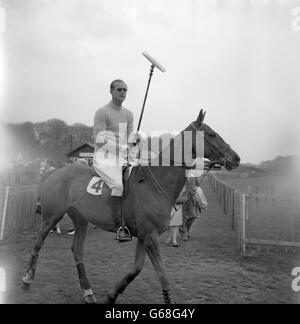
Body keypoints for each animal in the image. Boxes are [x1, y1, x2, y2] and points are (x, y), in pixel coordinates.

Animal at [21, 110, 241, 304]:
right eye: (212, 134)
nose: (236, 158)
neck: (155, 184)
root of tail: (54, 173)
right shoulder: (150, 235)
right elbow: (160, 273)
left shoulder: (144, 236)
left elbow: (138, 269)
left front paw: (111, 296)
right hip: (51, 216)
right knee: (38, 242)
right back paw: (27, 280)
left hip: (80, 219)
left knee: (77, 249)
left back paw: (88, 292)